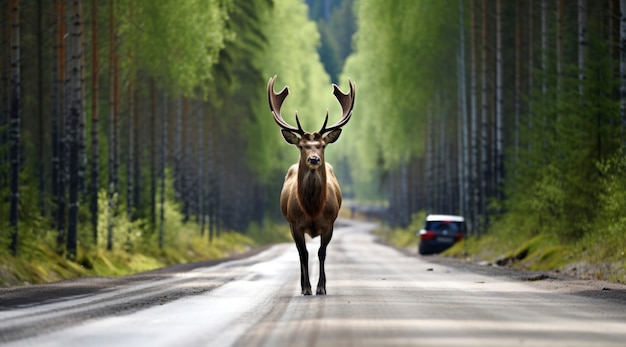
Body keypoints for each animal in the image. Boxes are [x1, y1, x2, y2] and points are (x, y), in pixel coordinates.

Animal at [266, 76, 354, 296]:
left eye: (322, 145)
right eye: (302, 146)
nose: (314, 159)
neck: (313, 208)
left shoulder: (330, 223)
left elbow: (322, 253)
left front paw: (321, 287)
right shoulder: (295, 224)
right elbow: (304, 254)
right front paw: (307, 287)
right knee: (300, 254)